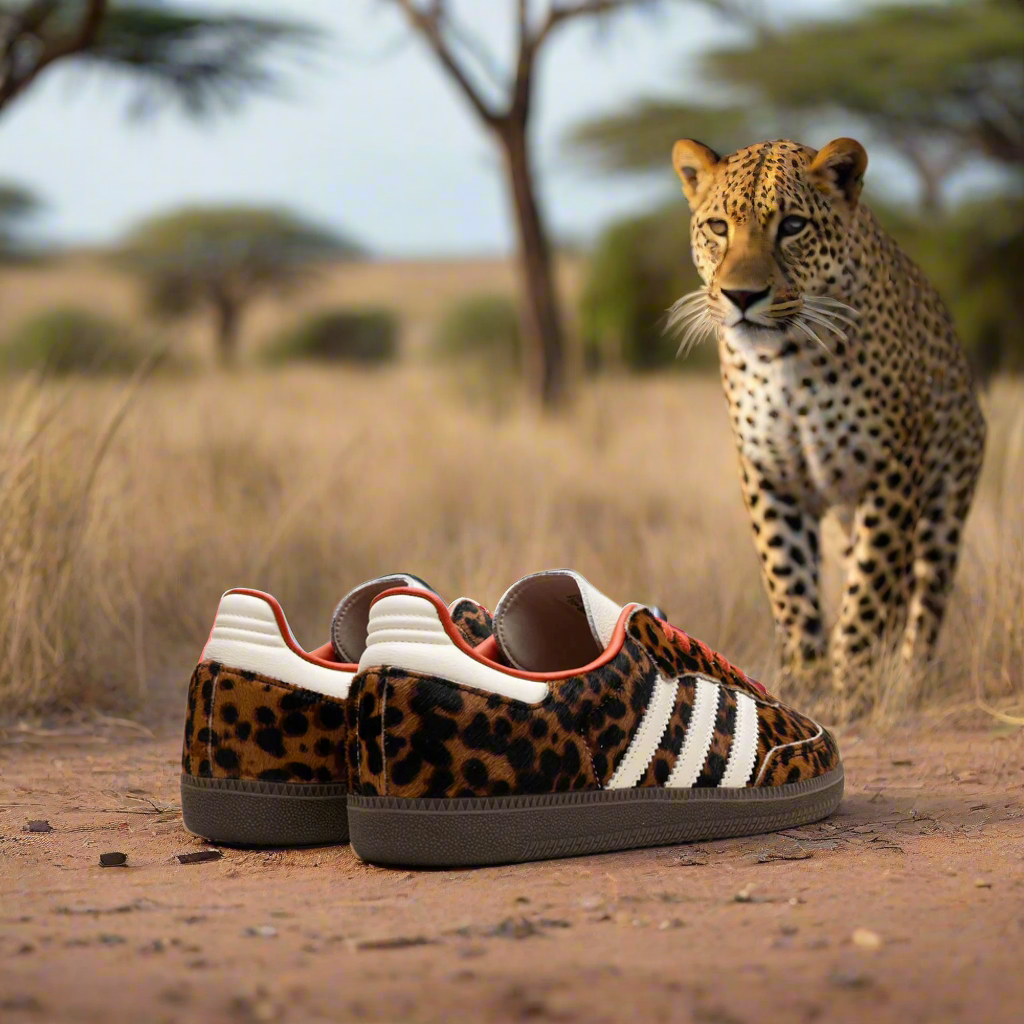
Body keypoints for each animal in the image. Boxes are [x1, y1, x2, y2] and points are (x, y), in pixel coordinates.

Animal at [669, 136, 986, 706]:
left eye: (792, 226)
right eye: (718, 227)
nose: (742, 296)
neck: (788, 360)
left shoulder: (889, 471)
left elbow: (869, 591)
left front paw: (851, 688)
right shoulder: (770, 476)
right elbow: (789, 583)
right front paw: (804, 682)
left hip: (945, 501)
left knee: (925, 597)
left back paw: (910, 681)